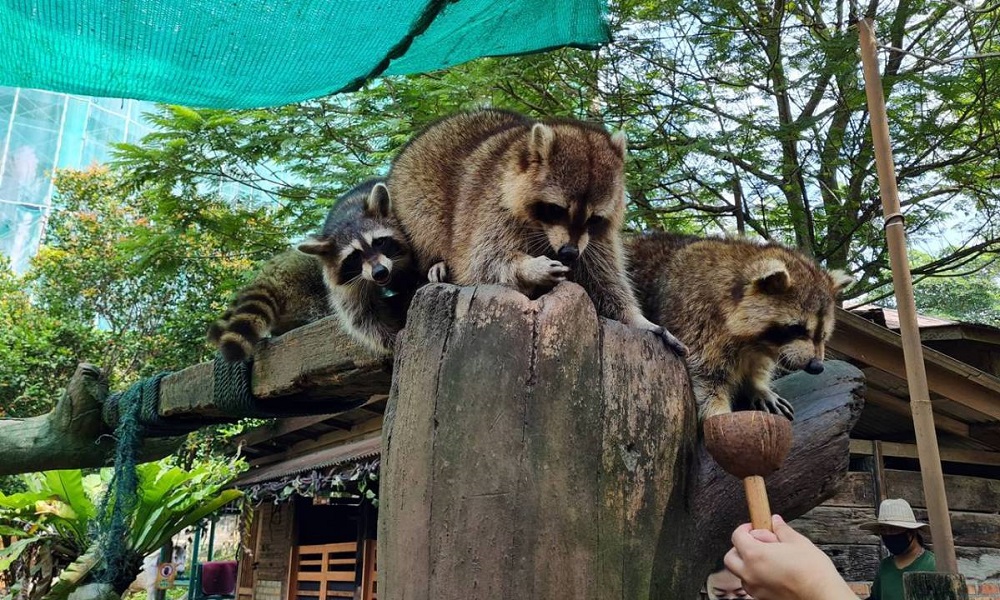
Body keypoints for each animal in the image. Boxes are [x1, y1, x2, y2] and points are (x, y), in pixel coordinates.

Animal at [207, 179, 422, 360]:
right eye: (354, 256)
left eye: (379, 242)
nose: (379, 272)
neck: (349, 216)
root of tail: (272, 271)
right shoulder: (344, 281)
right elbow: (362, 315)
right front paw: (390, 340)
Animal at [388, 108, 688, 354]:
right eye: (556, 209)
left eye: (594, 219)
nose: (569, 253)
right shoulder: (491, 209)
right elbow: (481, 264)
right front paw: (529, 268)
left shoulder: (595, 241)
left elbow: (606, 281)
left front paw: (638, 319)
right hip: (411, 196)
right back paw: (435, 262)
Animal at [624, 232, 852, 424]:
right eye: (797, 328)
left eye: (822, 335)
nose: (817, 367)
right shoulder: (695, 318)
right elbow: (704, 376)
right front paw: (718, 410)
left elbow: (756, 366)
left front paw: (757, 385)